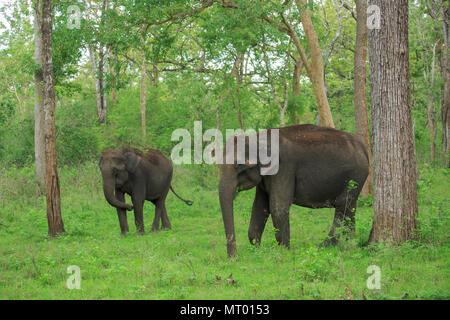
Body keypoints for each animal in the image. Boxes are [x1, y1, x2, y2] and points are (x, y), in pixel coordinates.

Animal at [218, 124, 370, 256]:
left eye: (239, 165)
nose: (234, 257)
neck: (257, 138)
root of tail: (364, 148)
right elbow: (259, 207)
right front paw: (258, 251)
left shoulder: (284, 168)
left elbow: (278, 207)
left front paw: (284, 252)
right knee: (350, 209)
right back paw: (349, 244)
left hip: (354, 177)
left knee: (342, 207)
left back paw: (322, 247)